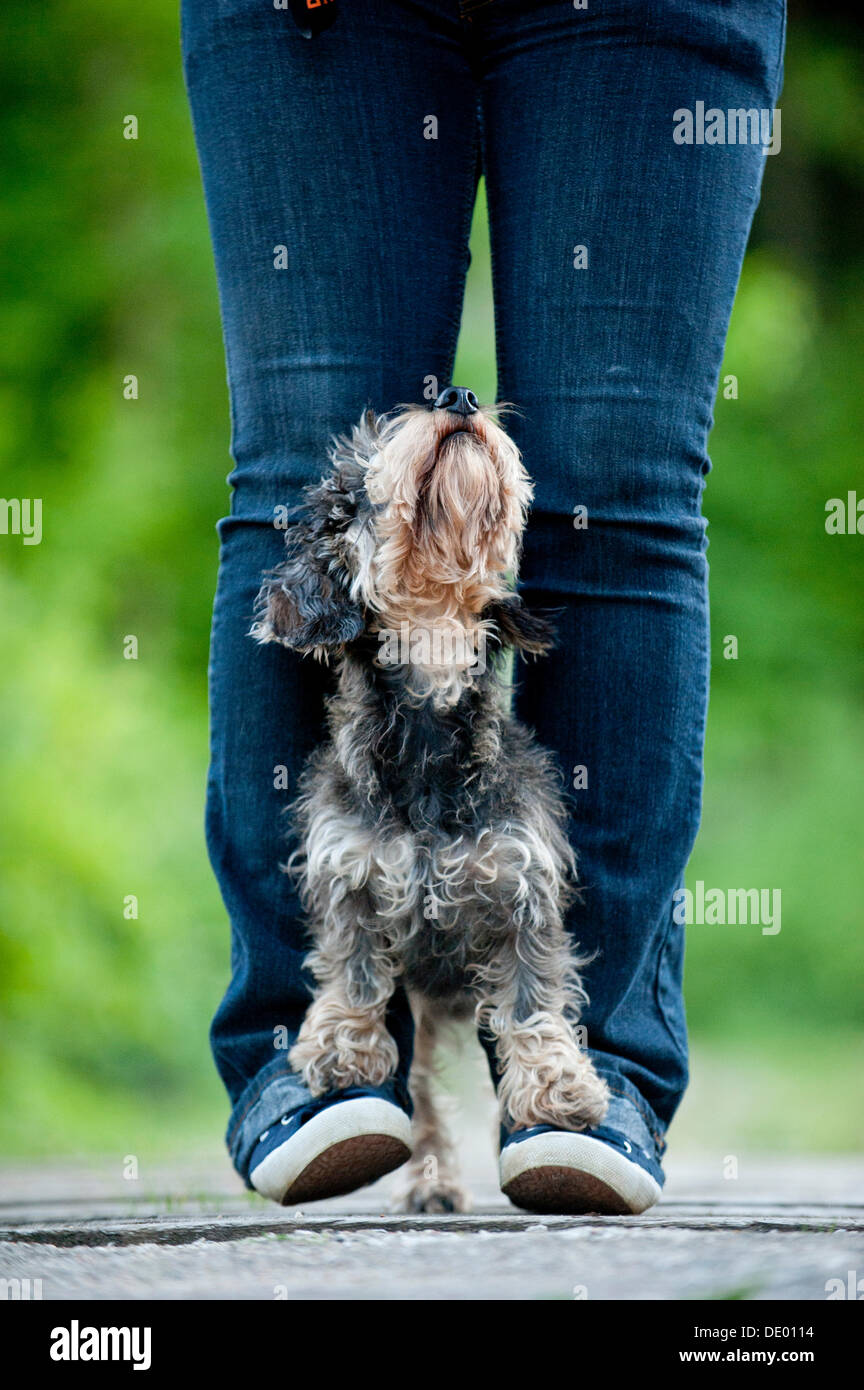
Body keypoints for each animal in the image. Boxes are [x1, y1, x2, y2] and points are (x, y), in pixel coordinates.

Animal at [254, 386, 613, 1212]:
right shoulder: (350, 875)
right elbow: (353, 971)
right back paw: (428, 1180)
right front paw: (341, 1052)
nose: (457, 395)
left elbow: (532, 1001)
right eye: (358, 479)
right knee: (418, 1089)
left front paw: (558, 1092)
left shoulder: (522, 889)